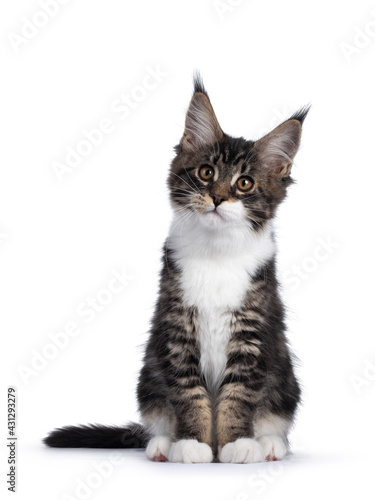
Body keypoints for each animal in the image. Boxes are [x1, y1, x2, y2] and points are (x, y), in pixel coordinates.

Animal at [44, 75, 308, 464]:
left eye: (244, 183)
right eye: (206, 173)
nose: (217, 197)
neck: (216, 250)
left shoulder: (253, 331)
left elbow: (237, 397)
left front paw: (235, 443)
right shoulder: (176, 327)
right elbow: (189, 394)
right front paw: (193, 443)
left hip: (284, 376)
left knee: (274, 417)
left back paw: (270, 444)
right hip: (149, 375)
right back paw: (162, 444)